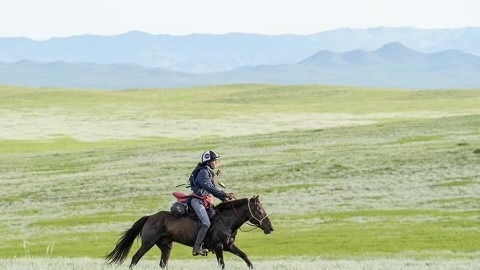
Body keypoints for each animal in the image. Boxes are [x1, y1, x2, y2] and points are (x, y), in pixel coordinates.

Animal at [105, 195, 274, 268]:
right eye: (259, 210)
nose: (270, 228)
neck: (226, 220)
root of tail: (149, 217)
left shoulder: (228, 246)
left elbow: (246, 257)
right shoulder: (219, 247)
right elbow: (222, 264)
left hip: (166, 245)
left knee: (163, 263)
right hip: (148, 243)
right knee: (135, 258)